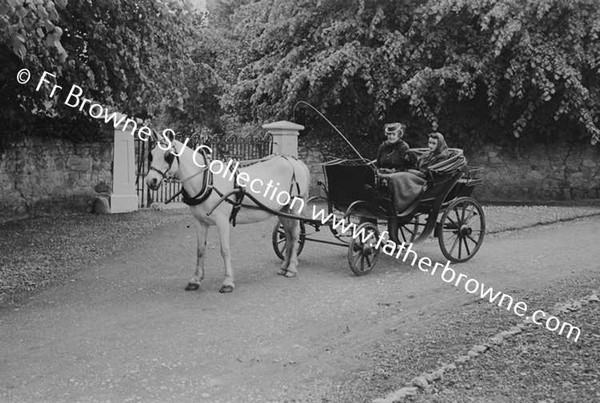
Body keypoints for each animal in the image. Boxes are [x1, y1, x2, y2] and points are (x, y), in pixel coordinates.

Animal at [143, 133, 308, 294]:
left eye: (168, 156)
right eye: (151, 155)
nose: (151, 180)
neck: (207, 182)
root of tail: (293, 161)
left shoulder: (222, 222)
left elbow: (225, 250)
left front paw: (228, 282)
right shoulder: (199, 222)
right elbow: (200, 250)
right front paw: (195, 280)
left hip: (294, 207)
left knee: (295, 235)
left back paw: (291, 268)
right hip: (282, 210)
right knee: (288, 235)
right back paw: (284, 266)